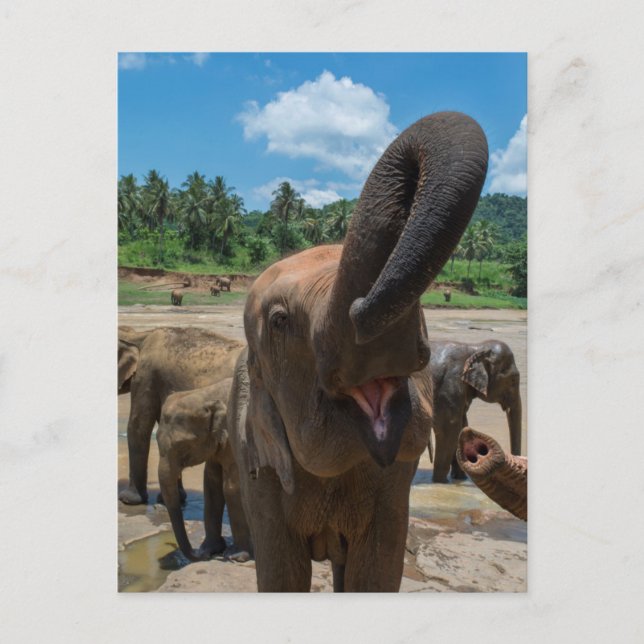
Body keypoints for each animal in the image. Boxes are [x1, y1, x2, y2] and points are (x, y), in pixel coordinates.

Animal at [157, 378, 251, 560]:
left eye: (182, 446)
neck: (206, 394)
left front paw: (236, 557)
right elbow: (211, 484)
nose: (200, 554)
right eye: (156, 441)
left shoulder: (233, 439)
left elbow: (232, 488)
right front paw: (211, 549)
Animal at [429, 340, 522, 483]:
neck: (475, 348)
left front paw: (460, 478)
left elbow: (462, 426)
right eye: (513, 379)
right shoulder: (449, 386)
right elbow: (449, 428)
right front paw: (440, 482)